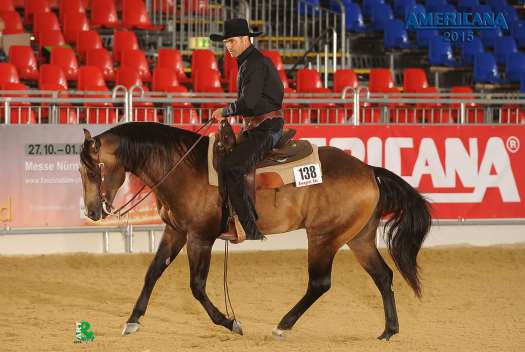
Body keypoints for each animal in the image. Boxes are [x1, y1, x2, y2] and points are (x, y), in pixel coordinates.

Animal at [79, 121, 430, 340]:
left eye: (92, 170)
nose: (93, 212)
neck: (183, 167)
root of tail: (369, 169)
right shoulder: (175, 231)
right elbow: (152, 273)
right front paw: (132, 321)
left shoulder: (200, 238)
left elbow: (196, 286)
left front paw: (230, 322)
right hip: (358, 238)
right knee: (383, 276)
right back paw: (388, 331)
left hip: (324, 237)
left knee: (320, 283)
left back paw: (283, 326)